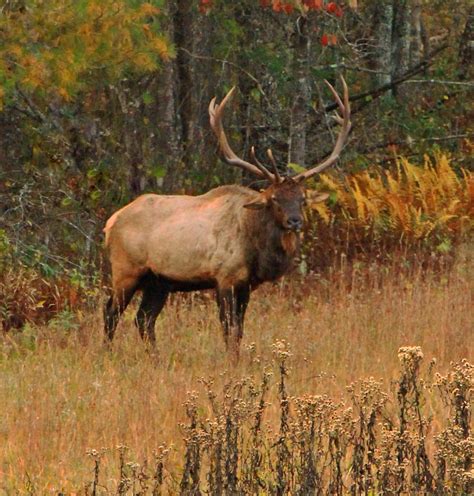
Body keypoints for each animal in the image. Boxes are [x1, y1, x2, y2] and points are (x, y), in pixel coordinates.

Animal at [103, 76, 350, 356]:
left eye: (302, 198)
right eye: (274, 199)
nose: (294, 220)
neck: (256, 249)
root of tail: (110, 223)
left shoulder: (246, 285)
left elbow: (239, 330)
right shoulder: (224, 277)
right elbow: (228, 329)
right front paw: (232, 360)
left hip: (159, 280)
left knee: (144, 318)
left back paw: (155, 358)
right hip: (125, 269)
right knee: (111, 312)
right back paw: (108, 354)